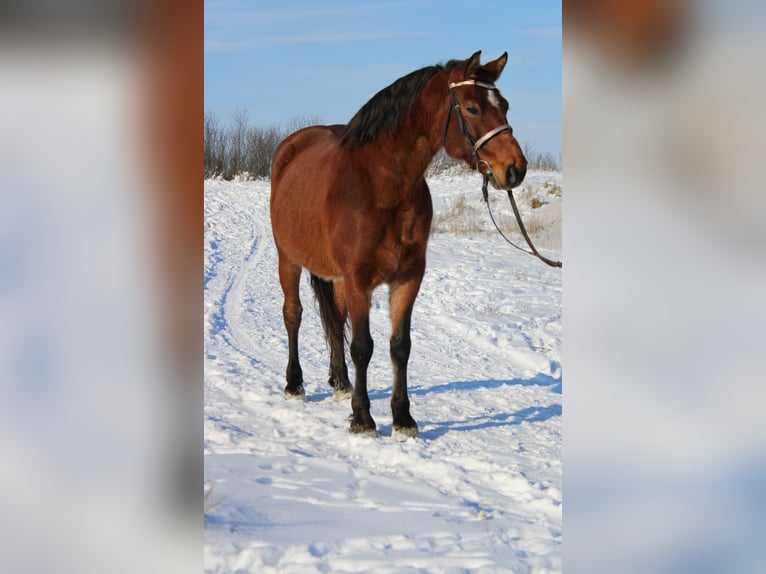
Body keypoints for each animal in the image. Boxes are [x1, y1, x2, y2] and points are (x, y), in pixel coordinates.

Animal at [270, 51, 527, 438]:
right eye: (472, 108)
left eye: (506, 105)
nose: (515, 169)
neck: (383, 185)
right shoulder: (359, 279)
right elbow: (363, 347)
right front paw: (363, 418)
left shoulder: (408, 276)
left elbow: (399, 346)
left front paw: (403, 417)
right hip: (289, 260)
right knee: (293, 315)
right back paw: (294, 383)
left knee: (336, 321)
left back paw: (341, 382)